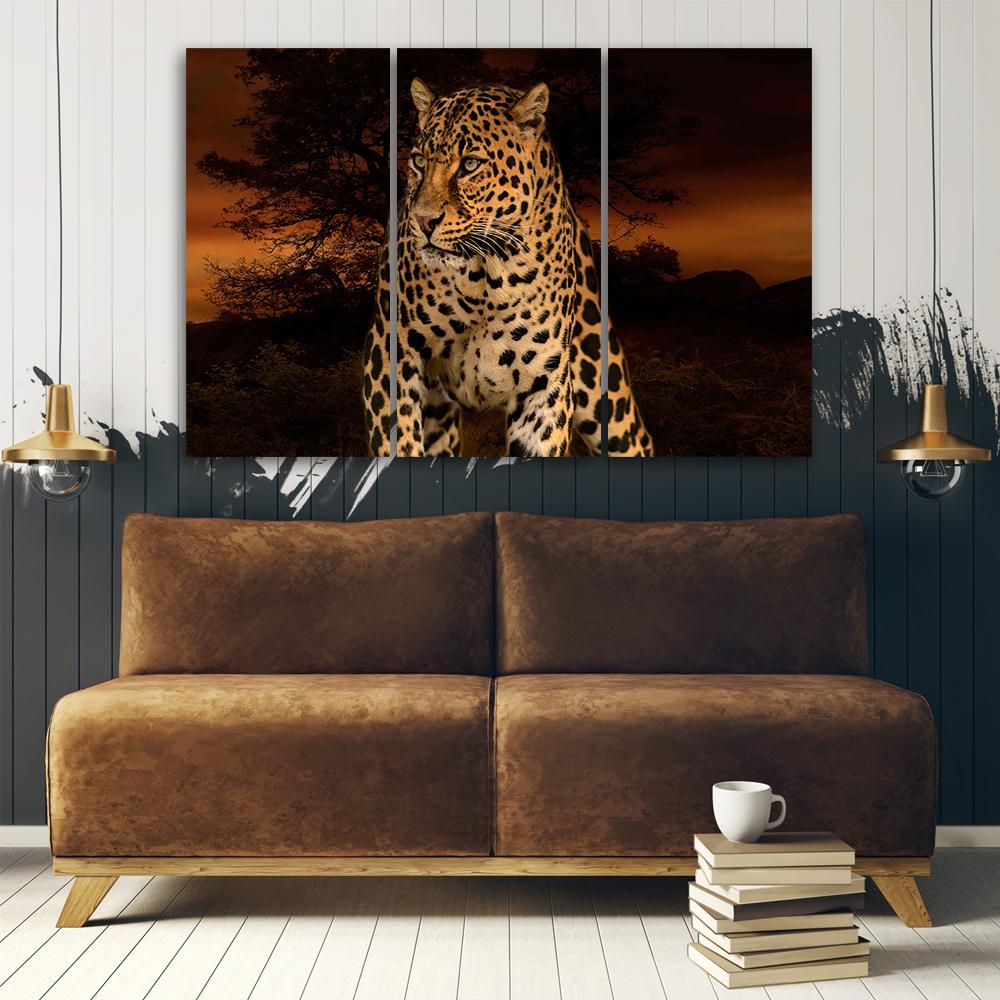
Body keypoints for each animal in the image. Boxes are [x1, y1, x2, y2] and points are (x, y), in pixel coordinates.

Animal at [363, 77, 653, 458]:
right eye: (419, 161)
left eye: (470, 164)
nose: (423, 221)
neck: (485, 274)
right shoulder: (390, 354)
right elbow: (398, 443)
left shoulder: (543, 383)